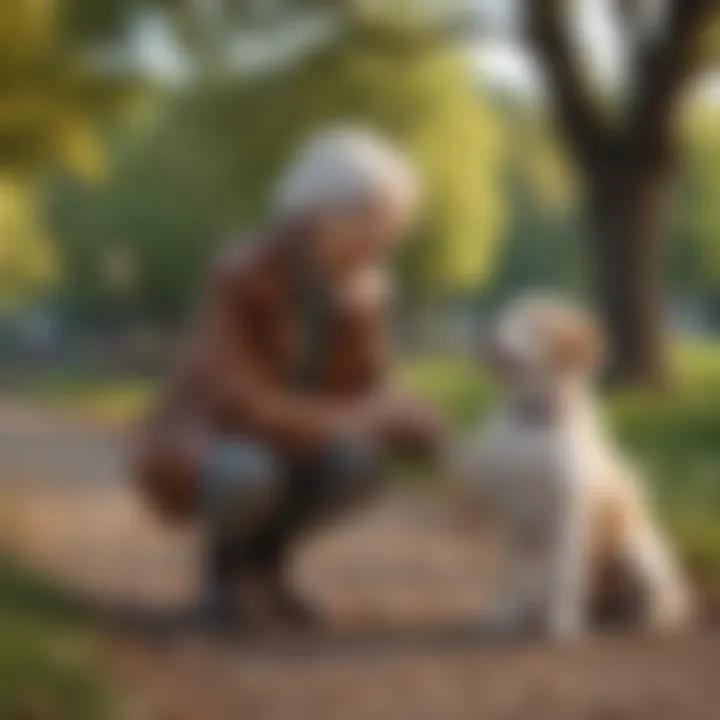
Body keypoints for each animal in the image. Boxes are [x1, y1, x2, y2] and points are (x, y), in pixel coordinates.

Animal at [456, 296, 692, 644]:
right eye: (506, 315)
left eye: (533, 322)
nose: (485, 338)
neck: (535, 424)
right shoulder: (512, 515)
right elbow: (509, 576)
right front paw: (505, 616)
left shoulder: (568, 513)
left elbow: (563, 575)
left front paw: (561, 627)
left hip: (637, 557)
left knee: (660, 604)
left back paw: (645, 622)